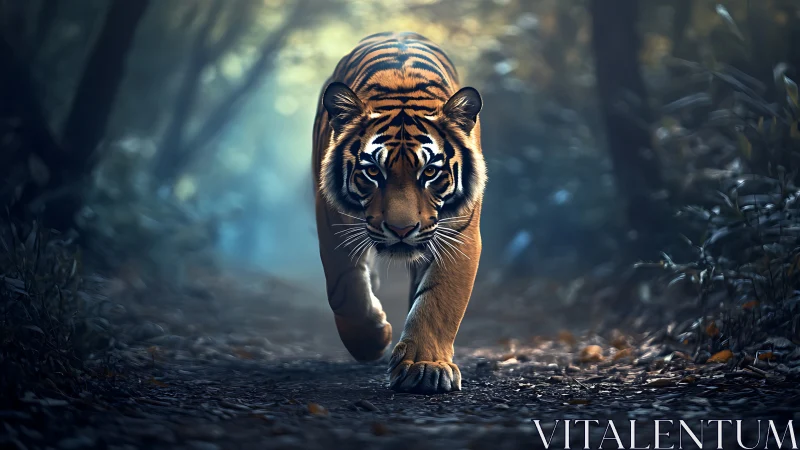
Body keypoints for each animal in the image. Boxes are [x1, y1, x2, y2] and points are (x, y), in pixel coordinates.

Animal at [312, 31, 486, 394]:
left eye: (430, 172)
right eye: (372, 172)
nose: (402, 229)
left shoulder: (459, 235)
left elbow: (440, 300)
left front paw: (424, 366)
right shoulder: (333, 224)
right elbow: (345, 289)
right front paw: (373, 340)